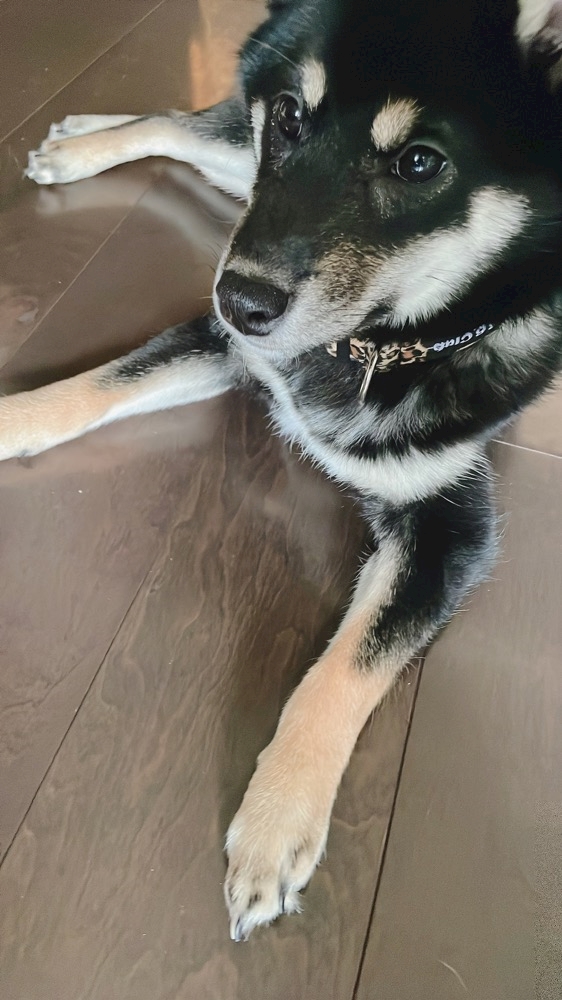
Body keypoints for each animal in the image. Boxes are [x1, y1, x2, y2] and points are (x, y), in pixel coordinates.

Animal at [1, 0, 562, 941]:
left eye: (420, 162)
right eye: (294, 118)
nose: (239, 299)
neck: (379, 344)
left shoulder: (451, 529)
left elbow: (343, 673)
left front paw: (275, 822)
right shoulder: (232, 339)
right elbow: (95, 385)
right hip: (240, 184)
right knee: (197, 129)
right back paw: (80, 142)